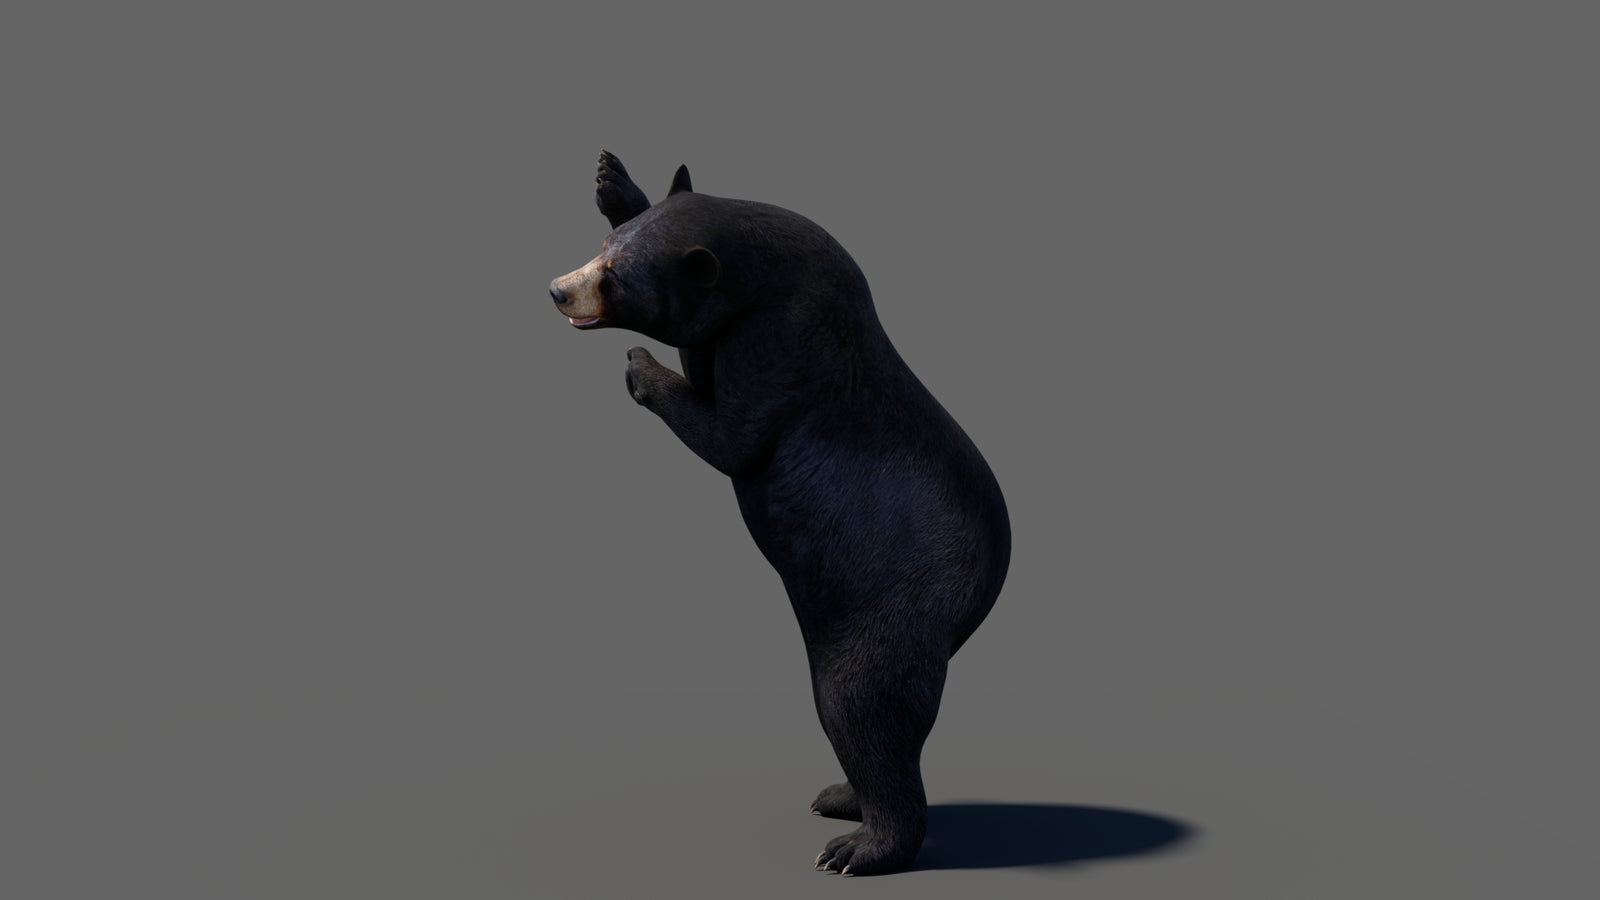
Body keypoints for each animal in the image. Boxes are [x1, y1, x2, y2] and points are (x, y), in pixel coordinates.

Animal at [549, 150, 1010, 875]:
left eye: (617, 280)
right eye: (601, 248)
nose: (557, 290)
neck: (772, 273)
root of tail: (983, 592)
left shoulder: (786, 341)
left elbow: (732, 435)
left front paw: (640, 366)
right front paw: (612, 180)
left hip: (890, 616)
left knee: (862, 710)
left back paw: (860, 846)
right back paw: (842, 796)